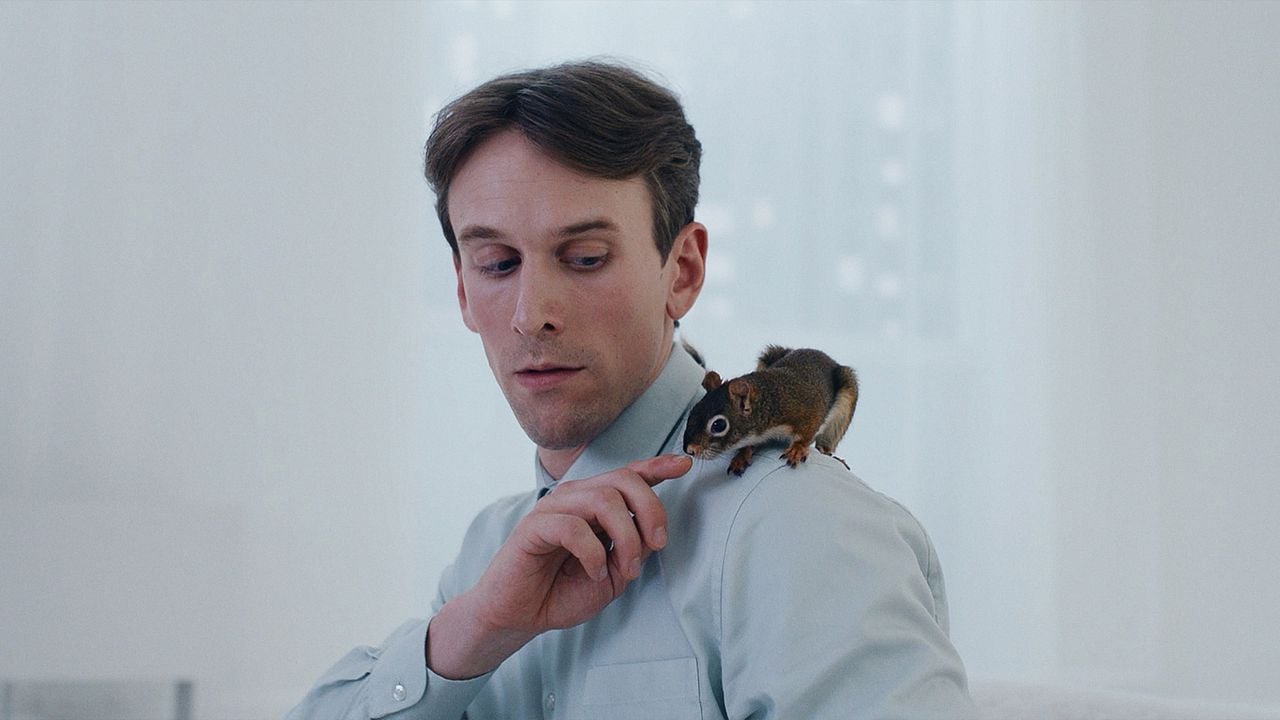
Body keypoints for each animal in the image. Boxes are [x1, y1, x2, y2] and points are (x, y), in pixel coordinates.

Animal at [683, 345, 859, 476]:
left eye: (718, 425)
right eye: (692, 412)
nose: (689, 450)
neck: (770, 402)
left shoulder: (807, 408)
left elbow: (807, 432)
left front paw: (797, 449)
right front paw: (742, 455)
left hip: (844, 407)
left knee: (827, 443)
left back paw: (829, 453)